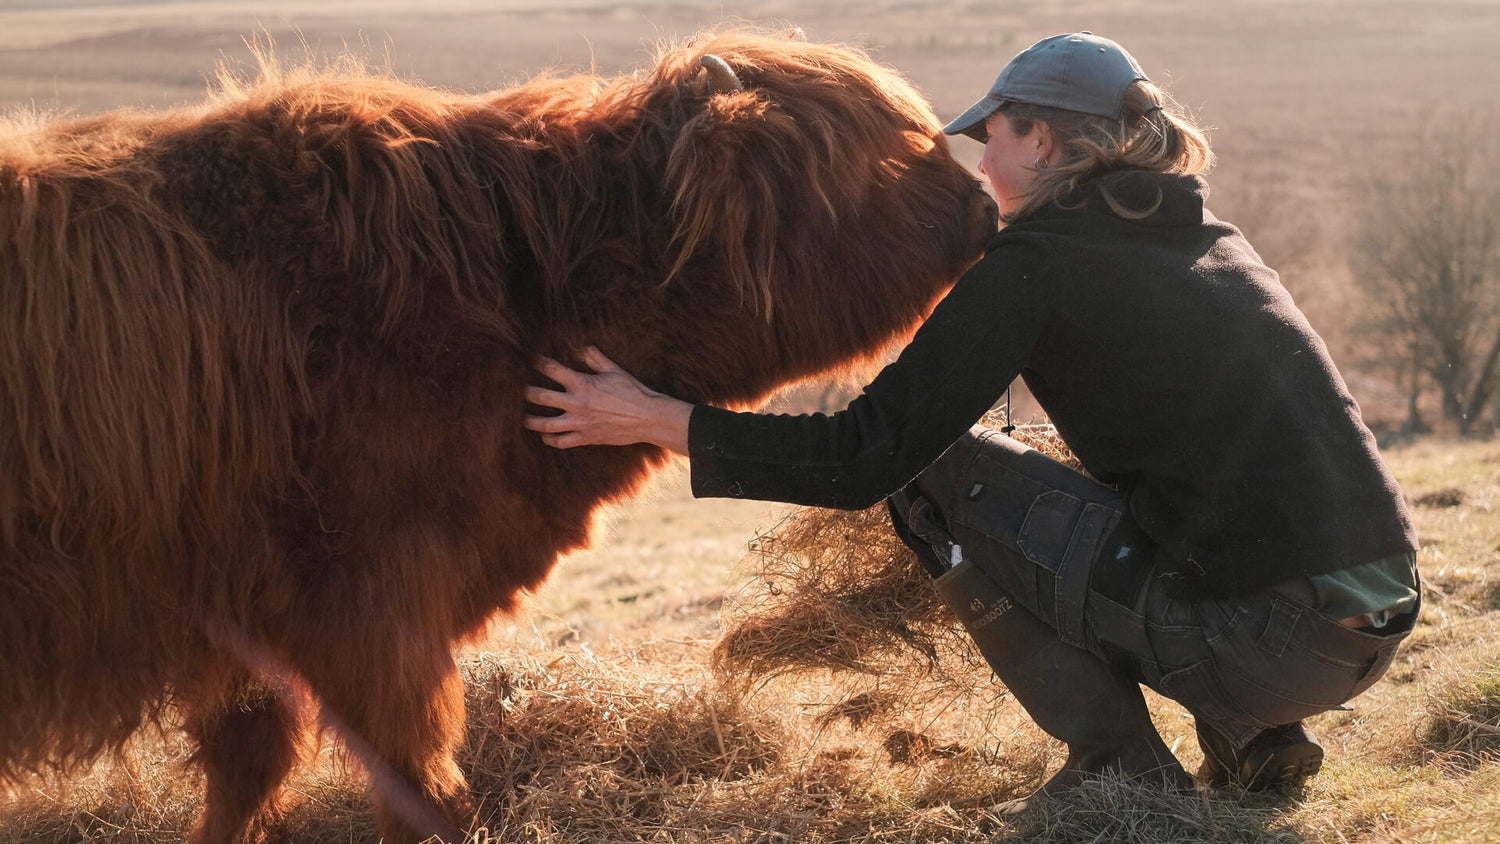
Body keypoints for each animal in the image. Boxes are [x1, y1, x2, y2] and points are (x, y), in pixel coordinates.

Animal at [2, 29, 1008, 844]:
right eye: (875, 155)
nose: (987, 210)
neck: (523, 287)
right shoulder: (368, 602)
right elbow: (409, 777)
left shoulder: (254, 622)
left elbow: (250, 770)